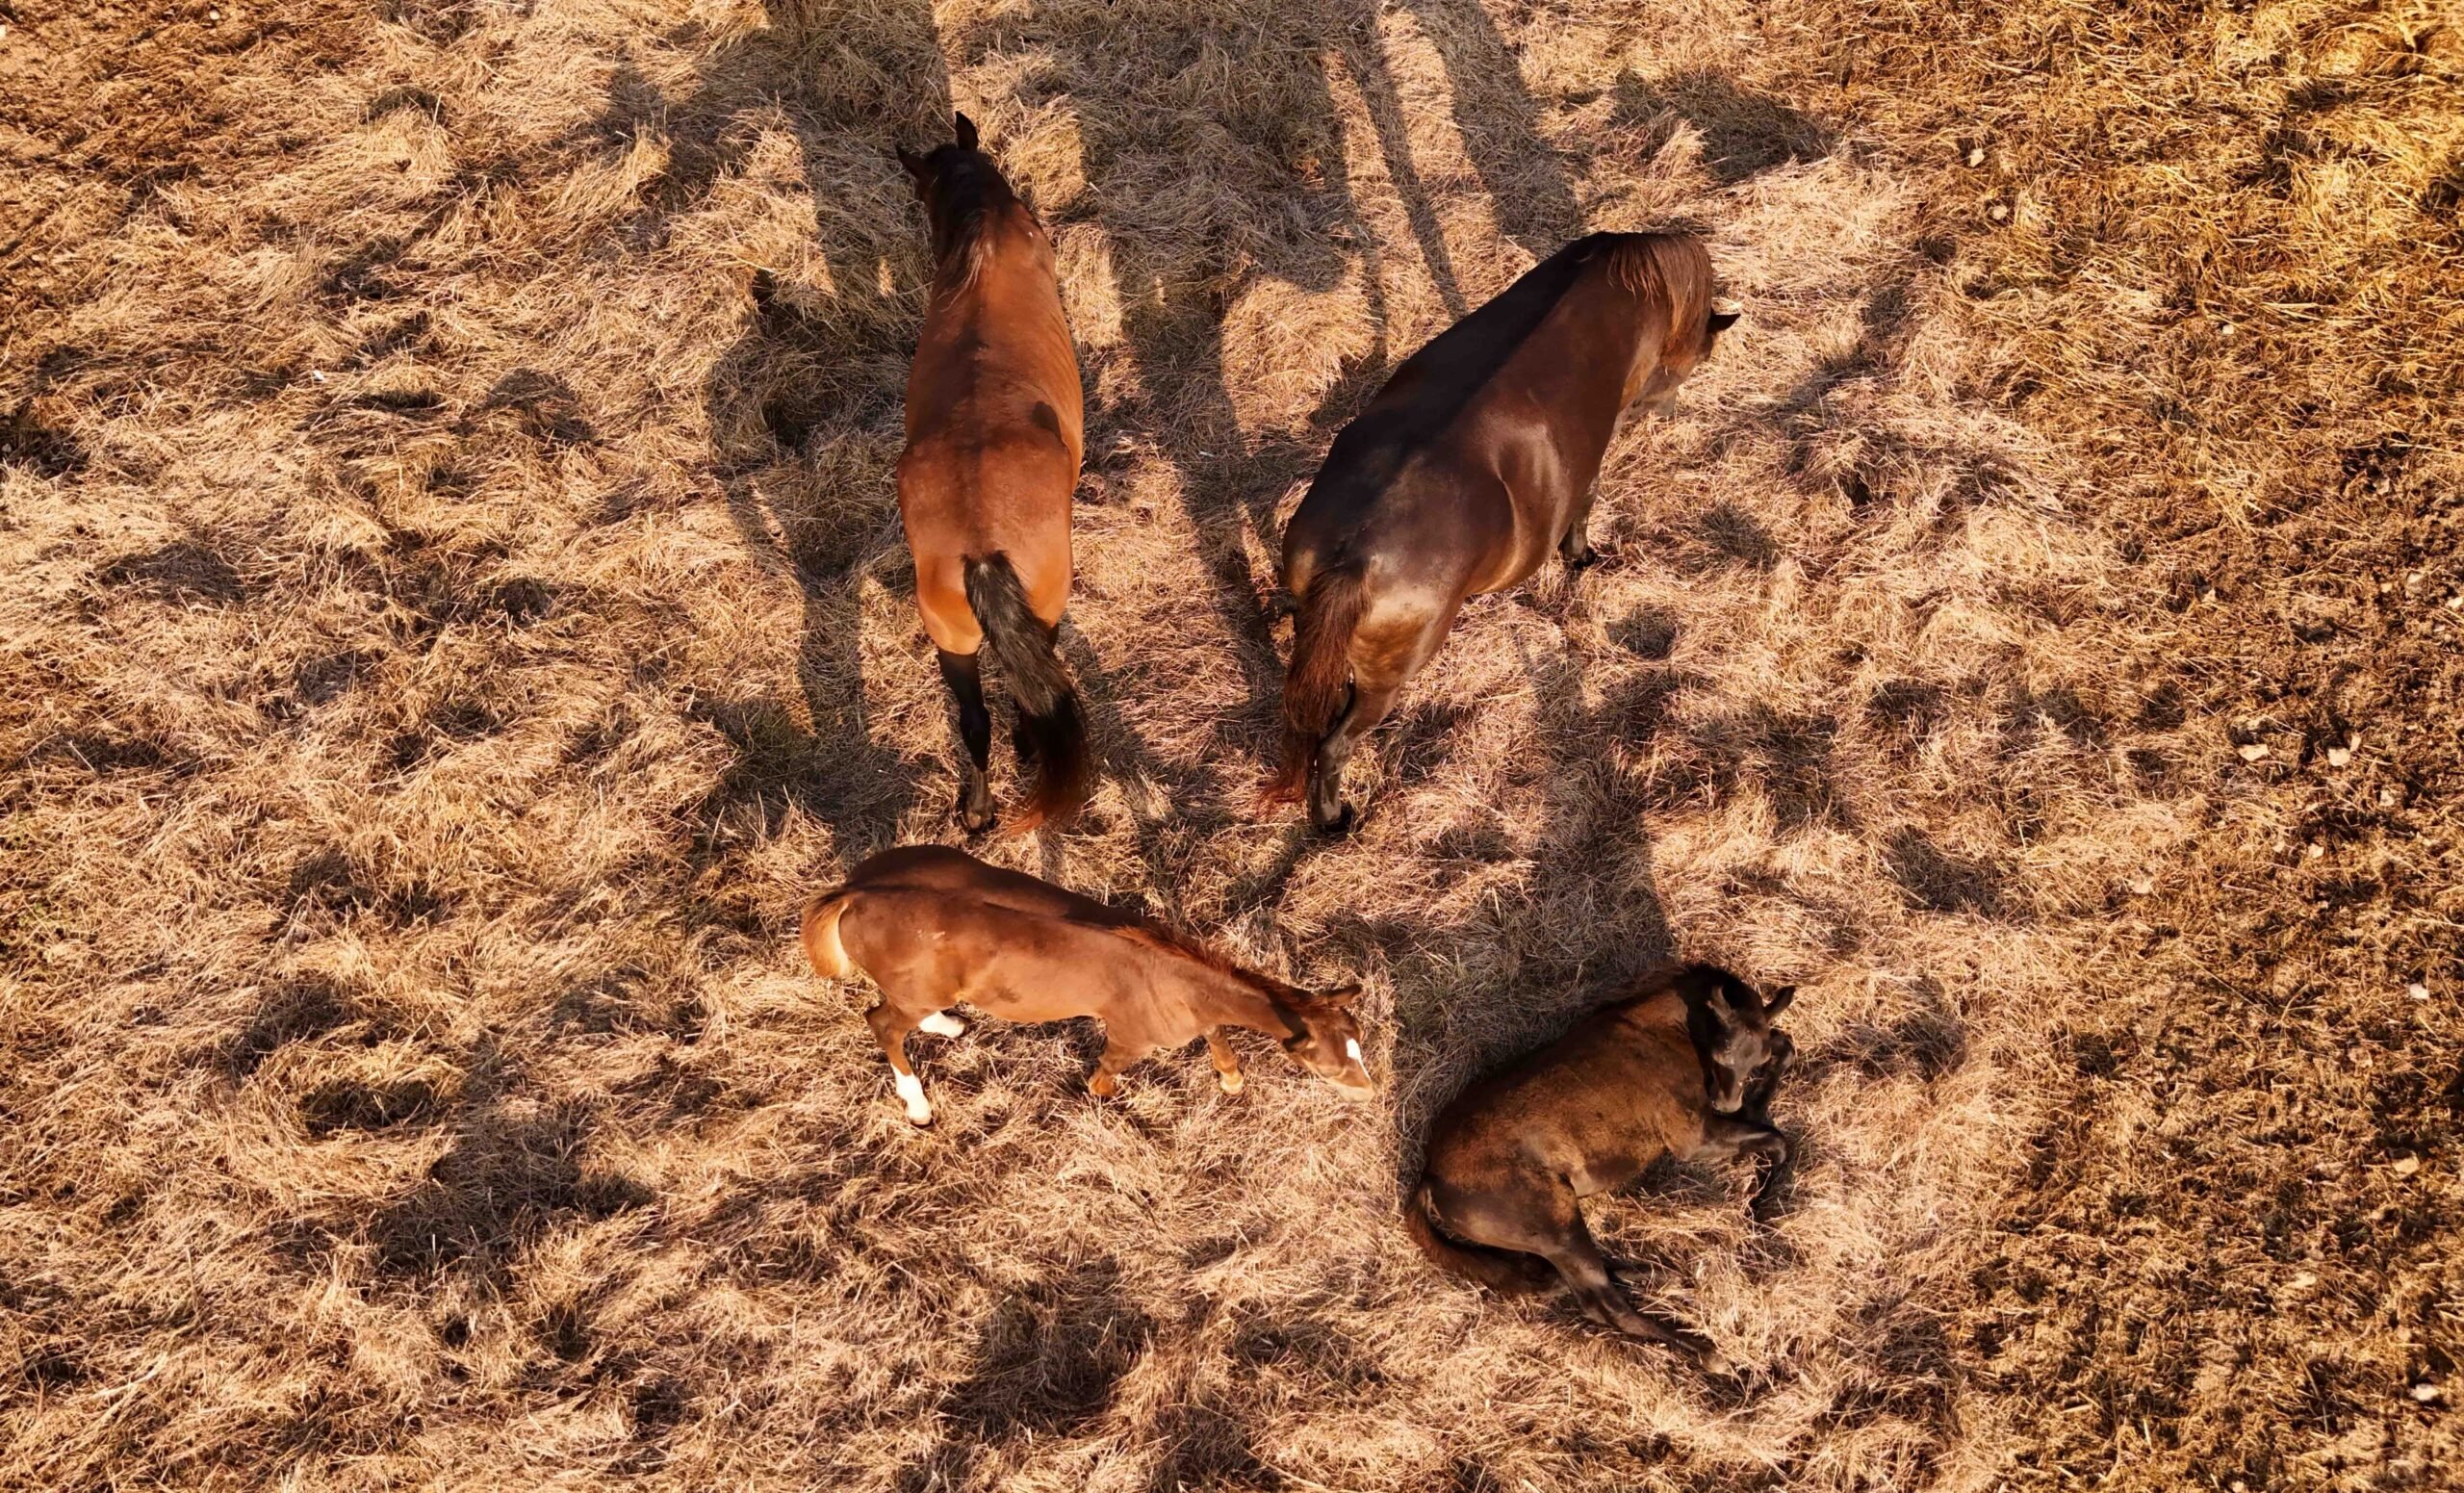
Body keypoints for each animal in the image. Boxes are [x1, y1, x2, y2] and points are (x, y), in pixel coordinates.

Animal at [801, 845, 1376, 1126]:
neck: (1173, 976)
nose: (1369, 1093)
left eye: (1360, 1044)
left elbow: (1217, 1033)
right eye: (1326, 1066)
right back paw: (919, 1108)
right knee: (883, 1024)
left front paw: (1231, 1080)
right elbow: (1104, 1080)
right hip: (912, 990)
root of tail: (856, 893)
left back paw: (948, 1026)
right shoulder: (1129, 1037)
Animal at [895, 113, 1092, 834]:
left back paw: (977, 809)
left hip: (950, 640)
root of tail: (981, 545)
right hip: (1047, 605)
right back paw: (1028, 749)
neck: (984, 236)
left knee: (974, 720)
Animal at [1266, 232, 1741, 831]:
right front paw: (1581, 557)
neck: (1626, 285)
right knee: (1334, 747)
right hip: (1384, 680)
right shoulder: (1596, 449)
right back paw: (1332, 817)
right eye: (1700, 354)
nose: (1666, 410)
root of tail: (1356, 558)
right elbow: (1585, 504)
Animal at [1401, 964, 1795, 1371]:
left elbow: (1782, 1057)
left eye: (1756, 1058)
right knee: (1601, 1304)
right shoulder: (1693, 1136)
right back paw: (1706, 1349)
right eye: (1722, 1051)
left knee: (1551, 1276)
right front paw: (1757, 1207)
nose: (1727, 1103)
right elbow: (1777, 1141)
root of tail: (1430, 1179)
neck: (1667, 1029)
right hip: (1558, 1226)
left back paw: (1656, 1274)